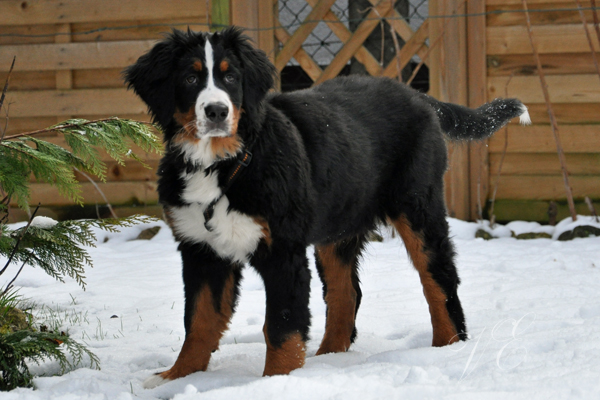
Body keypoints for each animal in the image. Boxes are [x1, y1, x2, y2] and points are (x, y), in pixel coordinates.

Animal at [124, 27, 530, 388]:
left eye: (231, 77)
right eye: (191, 78)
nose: (216, 111)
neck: (222, 165)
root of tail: (415, 95)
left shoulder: (282, 250)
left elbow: (281, 325)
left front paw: (275, 383)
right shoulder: (201, 250)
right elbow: (200, 320)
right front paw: (176, 378)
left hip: (417, 207)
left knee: (439, 279)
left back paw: (447, 348)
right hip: (339, 226)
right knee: (345, 293)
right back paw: (330, 359)